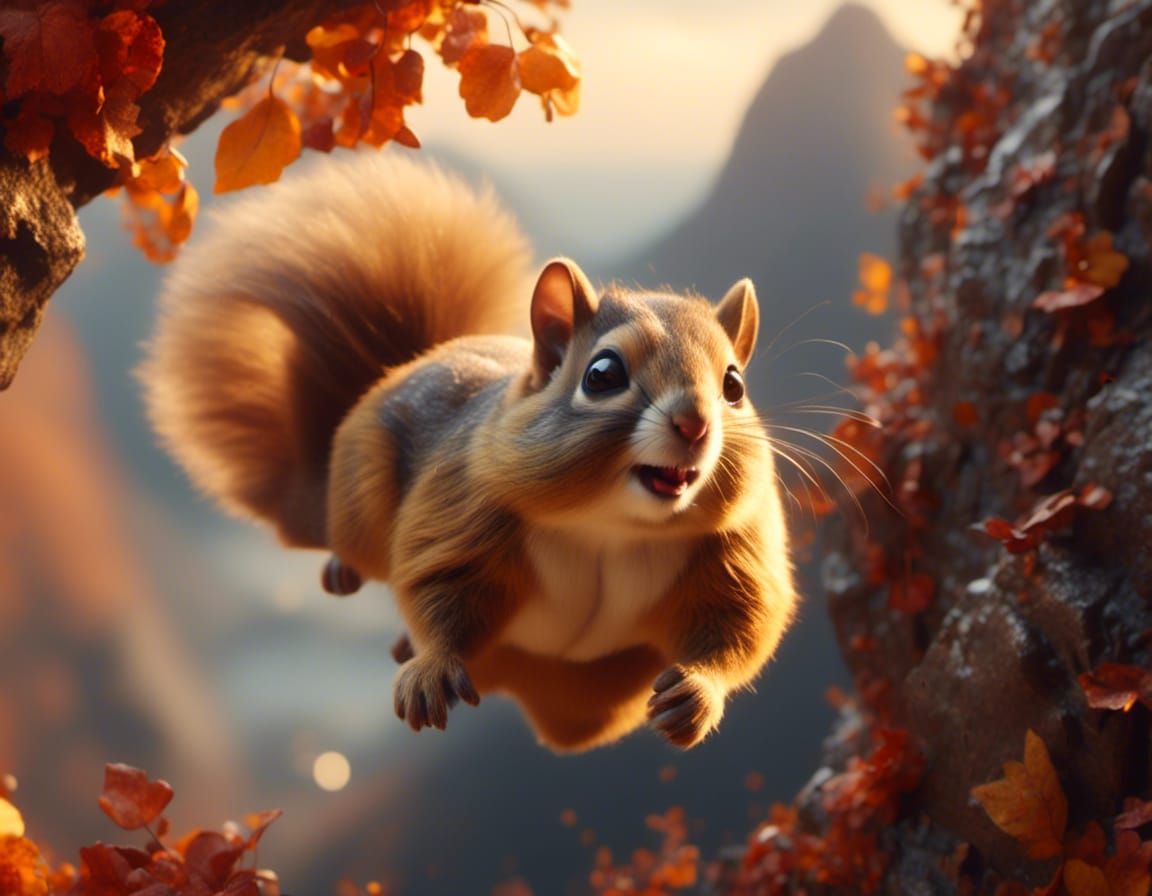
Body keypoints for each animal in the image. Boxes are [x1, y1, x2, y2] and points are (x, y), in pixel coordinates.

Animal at [142, 153, 797, 752]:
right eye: (603, 374)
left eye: (734, 385)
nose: (695, 423)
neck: (609, 524)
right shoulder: (462, 505)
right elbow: (438, 586)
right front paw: (430, 668)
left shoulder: (735, 546)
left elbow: (746, 619)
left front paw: (698, 691)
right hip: (358, 494)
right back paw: (348, 573)